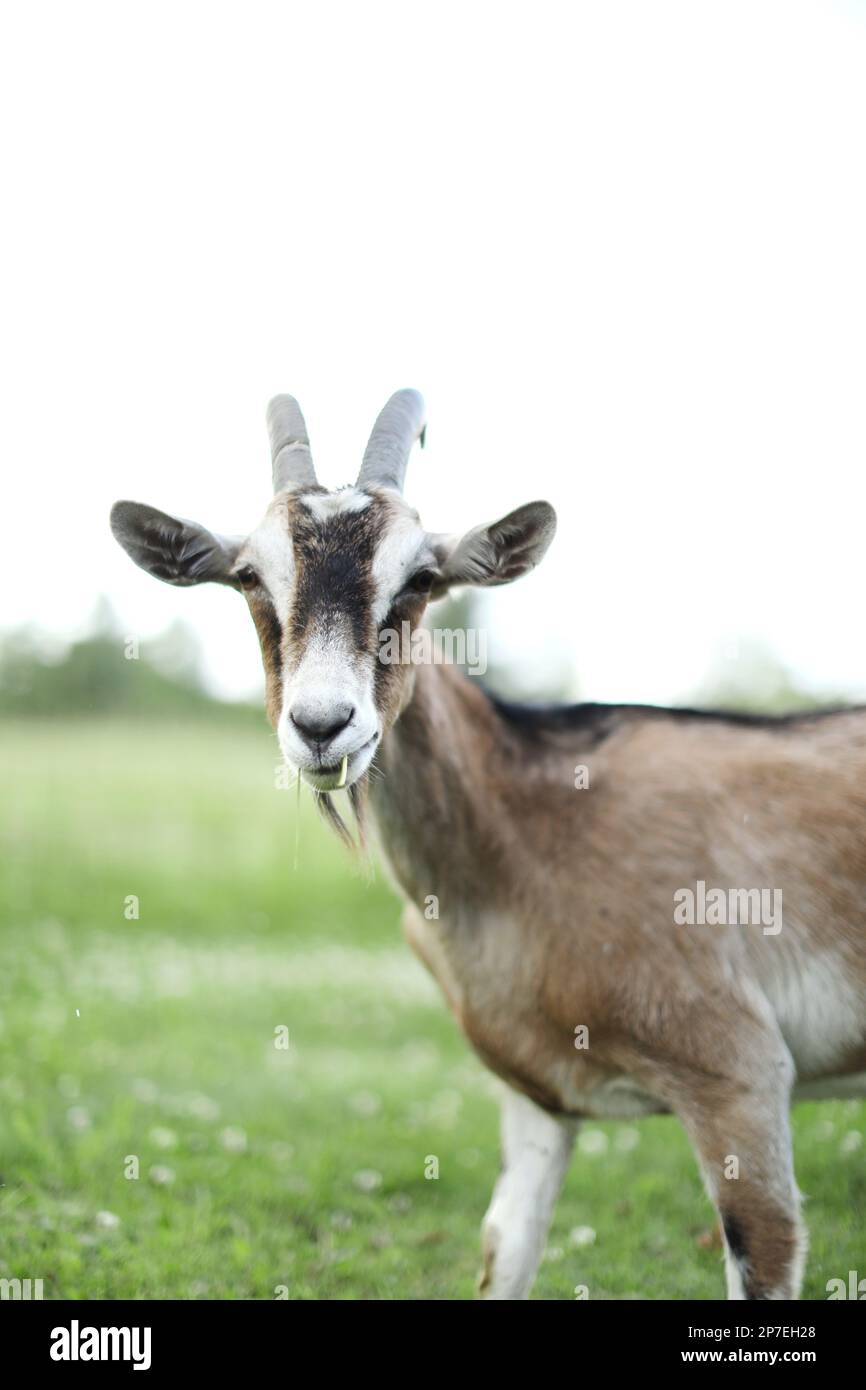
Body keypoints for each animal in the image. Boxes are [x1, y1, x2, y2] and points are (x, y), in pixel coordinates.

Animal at [111, 394, 866, 1301]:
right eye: (251, 577)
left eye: (420, 579)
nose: (323, 726)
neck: (526, 832)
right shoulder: (534, 1094)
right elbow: (504, 1248)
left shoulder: (740, 1075)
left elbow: (767, 1242)